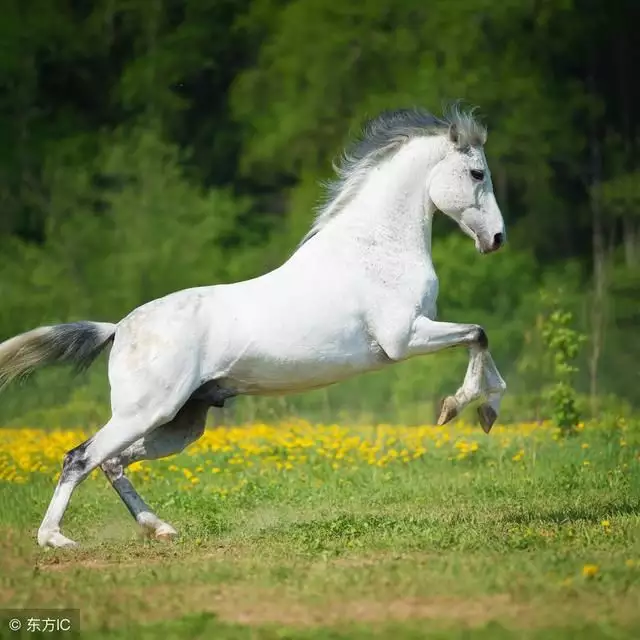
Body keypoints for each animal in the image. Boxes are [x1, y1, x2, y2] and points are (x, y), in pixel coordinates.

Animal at [1, 105, 510, 544]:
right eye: (477, 173)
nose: (497, 238)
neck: (375, 248)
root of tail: (119, 328)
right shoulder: (404, 337)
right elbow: (478, 333)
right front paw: (457, 407)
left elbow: (482, 342)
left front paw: (486, 412)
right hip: (144, 412)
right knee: (80, 457)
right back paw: (54, 539)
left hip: (179, 423)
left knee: (113, 463)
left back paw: (160, 529)